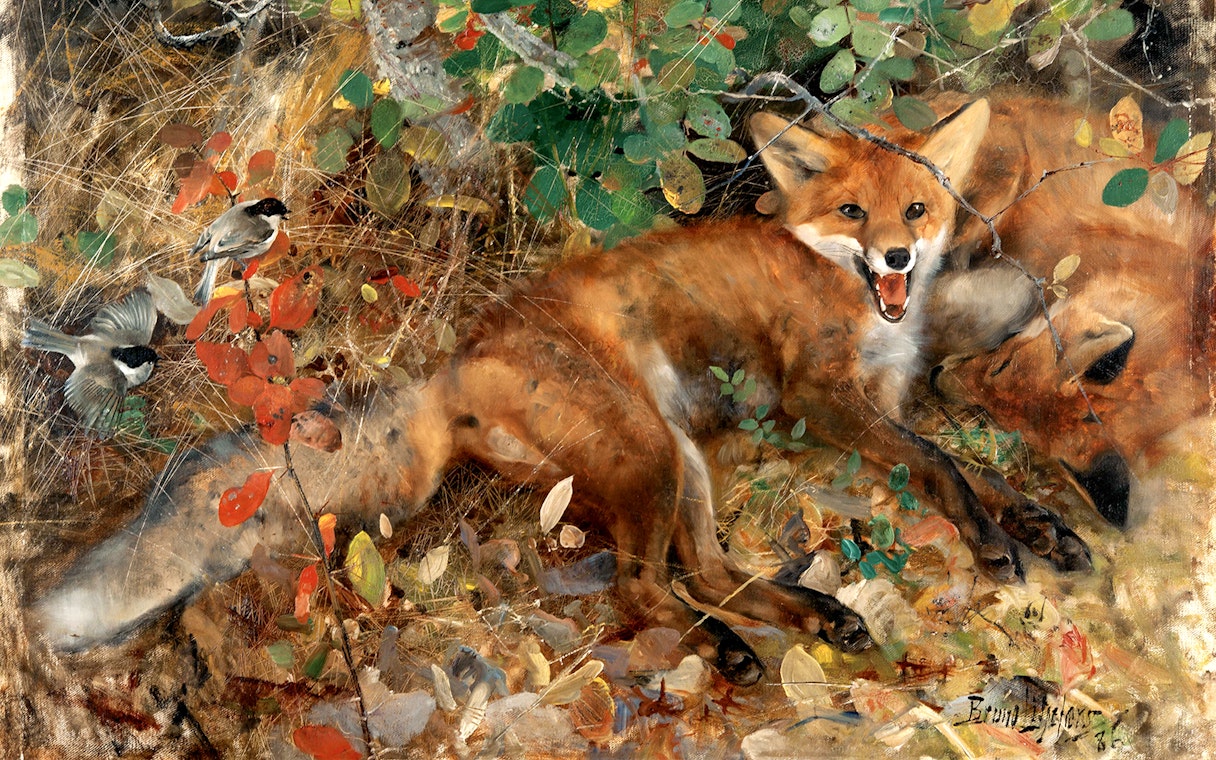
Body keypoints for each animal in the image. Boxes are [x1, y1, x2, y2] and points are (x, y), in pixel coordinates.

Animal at [30, 97, 1091, 683]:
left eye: (916, 208)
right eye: (854, 213)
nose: (901, 257)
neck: (854, 297)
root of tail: (455, 360)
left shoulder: (885, 400)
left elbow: (978, 470)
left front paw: (1043, 527)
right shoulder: (824, 398)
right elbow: (945, 465)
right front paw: (995, 545)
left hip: (679, 457)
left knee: (705, 573)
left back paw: (807, 616)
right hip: (651, 453)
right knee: (644, 585)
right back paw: (729, 650)